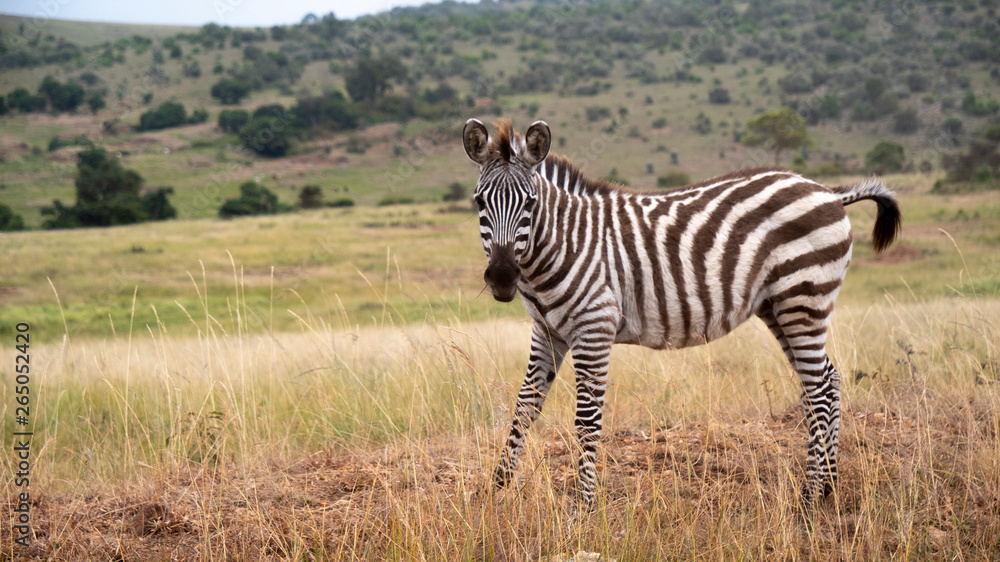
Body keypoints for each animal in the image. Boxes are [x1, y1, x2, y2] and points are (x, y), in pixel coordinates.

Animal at [462, 118, 901, 508]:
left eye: (531, 203)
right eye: (479, 202)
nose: (502, 277)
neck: (562, 245)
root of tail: (827, 191)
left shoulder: (595, 328)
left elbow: (586, 422)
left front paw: (582, 507)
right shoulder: (547, 332)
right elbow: (524, 408)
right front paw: (494, 492)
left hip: (803, 299)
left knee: (819, 389)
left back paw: (810, 497)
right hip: (780, 307)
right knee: (826, 381)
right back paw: (828, 486)